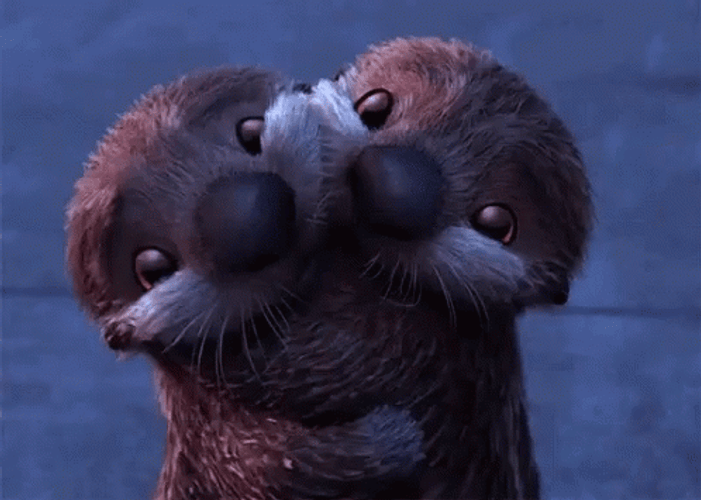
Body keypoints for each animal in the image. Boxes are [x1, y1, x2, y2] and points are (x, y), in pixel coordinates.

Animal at [66, 37, 592, 500]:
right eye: (151, 266)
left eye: (498, 222)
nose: (250, 214)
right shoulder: (216, 427)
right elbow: (273, 461)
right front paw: (392, 437)